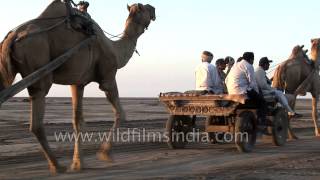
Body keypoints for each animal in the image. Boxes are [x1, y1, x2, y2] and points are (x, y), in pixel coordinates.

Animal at [0, 0, 156, 174]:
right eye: (144, 8)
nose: (154, 9)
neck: (115, 49)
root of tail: (12, 37)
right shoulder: (108, 77)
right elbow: (120, 113)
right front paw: (105, 154)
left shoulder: (77, 83)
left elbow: (77, 121)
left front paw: (78, 163)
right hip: (39, 70)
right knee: (36, 123)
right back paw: (57, 165)